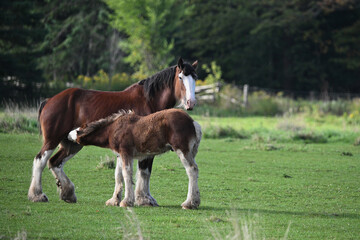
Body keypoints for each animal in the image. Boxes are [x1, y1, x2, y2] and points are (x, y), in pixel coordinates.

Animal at [67, 108, 201, 209]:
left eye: (80, 128)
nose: (68, 135)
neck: (113, 128)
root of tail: (193, 122)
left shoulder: (126, 153)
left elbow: (127, 174)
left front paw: (126, 201)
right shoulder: (120, 155)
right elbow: (118, 176)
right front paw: (114, 200)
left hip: (182, 151)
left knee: (192, 170)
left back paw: (189, 204)